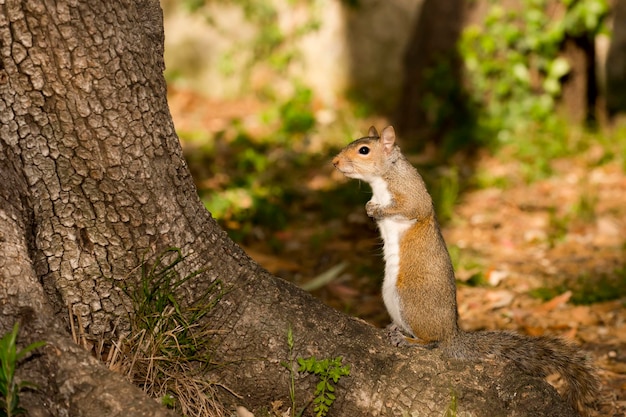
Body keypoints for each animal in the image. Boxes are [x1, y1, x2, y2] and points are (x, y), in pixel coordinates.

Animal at [332, 123, 600, 412]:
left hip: (411, 299)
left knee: (432, 342)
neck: (383, 179)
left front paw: (378, 210)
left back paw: (409, 340)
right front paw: (369, 207)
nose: (334, 162)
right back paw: (396, 328)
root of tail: (452, 333)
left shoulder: (411, 192)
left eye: (364, 150)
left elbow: (411, 208)